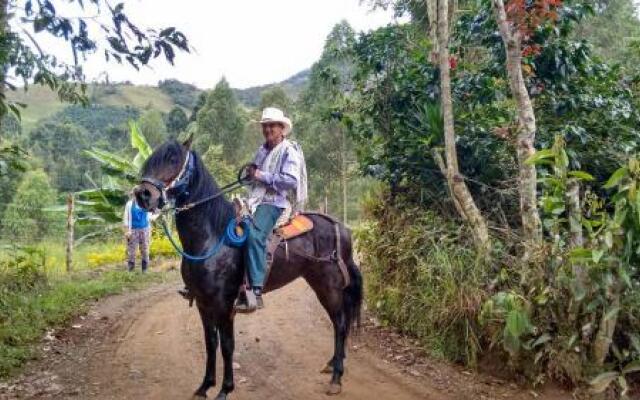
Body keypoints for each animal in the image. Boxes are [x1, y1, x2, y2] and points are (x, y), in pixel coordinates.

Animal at [134, 138, 364, 400]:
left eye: (173, 159)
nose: (142, 194)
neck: (212, 237)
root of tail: (341, 227)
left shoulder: (224, 304)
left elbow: (227, 345)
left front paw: (225, 389)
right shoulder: (203, 303)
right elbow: (210, 343)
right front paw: (204, 386)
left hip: (329, 286)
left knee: (340, 323)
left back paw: (336, 377)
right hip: (317, 281)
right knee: (340, 323)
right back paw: (332, 364)